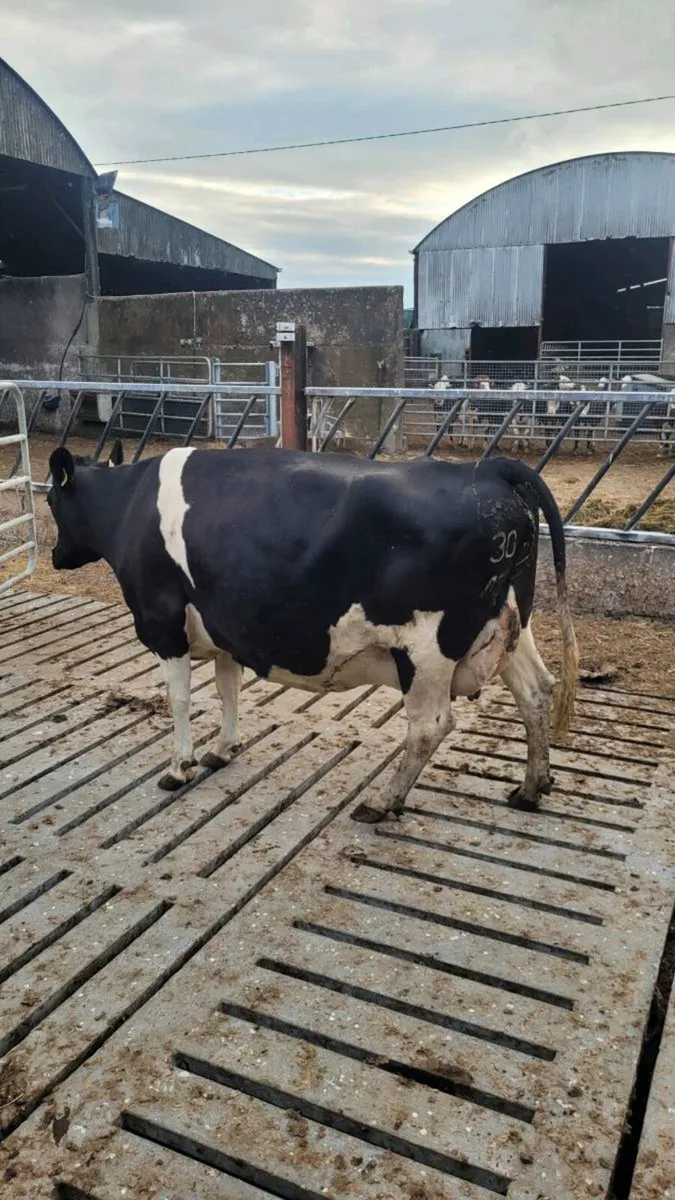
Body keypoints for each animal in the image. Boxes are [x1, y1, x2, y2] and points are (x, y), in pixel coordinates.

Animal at [47, 442, 578, 823]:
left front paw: (179, 767)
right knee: (536, 691)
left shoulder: (162, 624)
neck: (127, 505)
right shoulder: (227, 626)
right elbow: (227, 688)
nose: (55, 555)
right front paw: (223, 749)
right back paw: (531, 788)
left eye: (51, 498)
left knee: (430, 726)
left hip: (427, 649)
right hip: (511, 623)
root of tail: (489, 468)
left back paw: (382, 802)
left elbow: (179, 699)